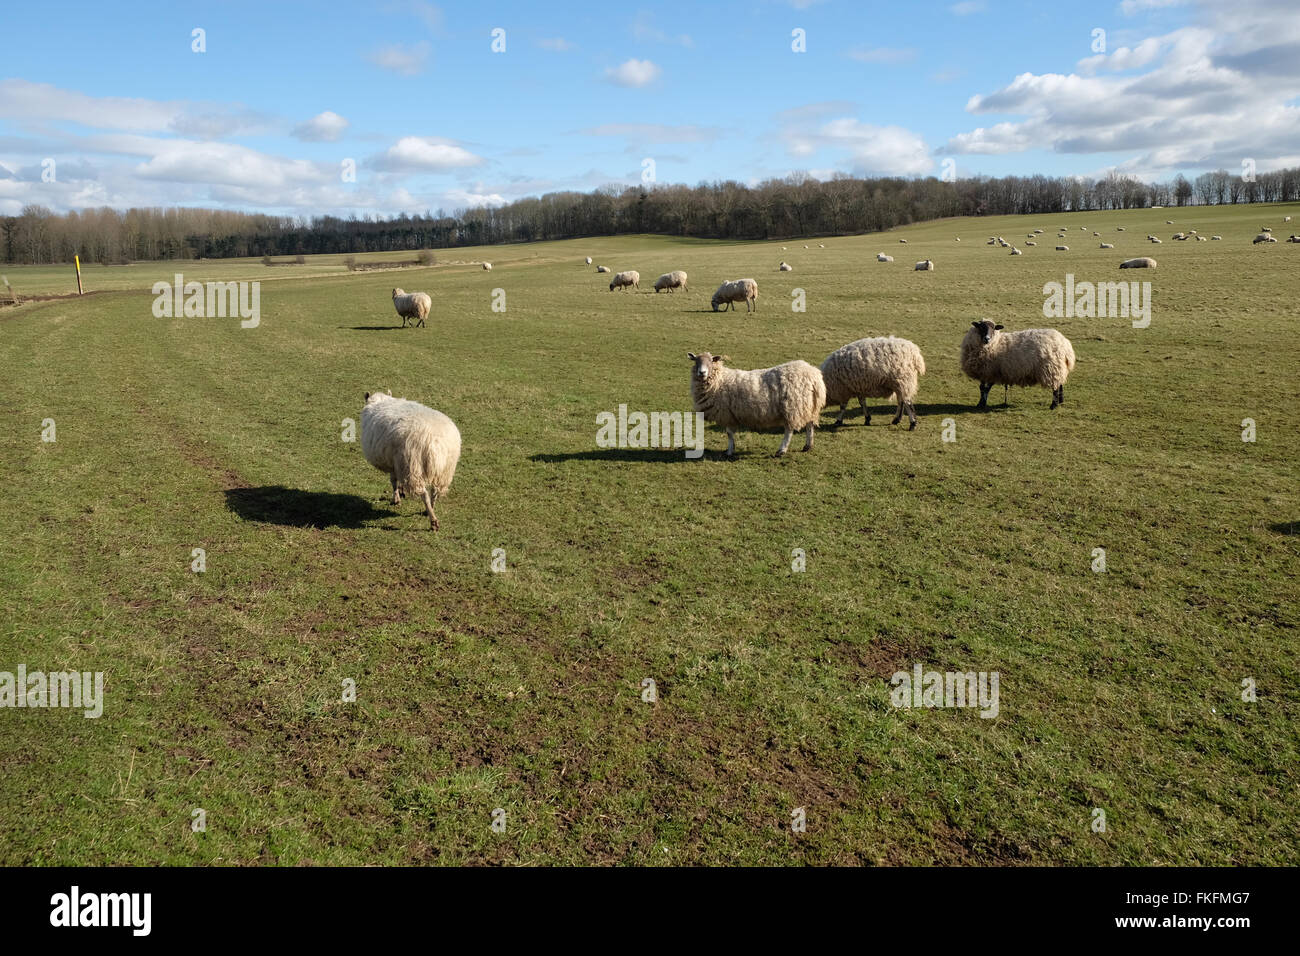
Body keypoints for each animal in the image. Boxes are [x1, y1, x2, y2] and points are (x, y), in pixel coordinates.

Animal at [360, 390, 461, 531]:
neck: (381, 400)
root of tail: (435, 443)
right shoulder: (397, 463)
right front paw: (400, 493)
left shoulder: (394, 462)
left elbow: (393, 481)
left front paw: (396, 499)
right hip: (444, 471)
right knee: (435, 492)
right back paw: (429, 510)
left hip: (412, 467)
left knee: (424, 494)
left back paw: (433, 521)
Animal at [687, 351, 825, 456]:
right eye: (696, 361)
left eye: (711, 361)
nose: (702, 372)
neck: (719, 380)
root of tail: (814, 375)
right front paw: (731, 449)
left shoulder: (727, 414)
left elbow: (729, 434)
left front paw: (729, 451)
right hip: (808, 406)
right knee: (810, 425)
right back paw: (807, 446)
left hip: (793, 407)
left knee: (789, 430)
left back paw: (781, 450)